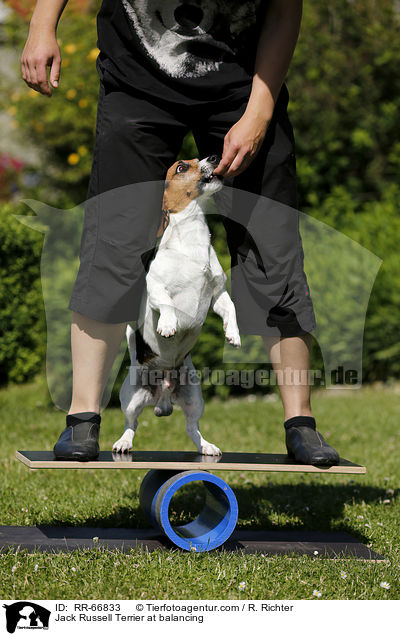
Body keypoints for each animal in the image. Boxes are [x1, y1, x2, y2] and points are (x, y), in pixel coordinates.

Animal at [114, 156, 242, 454]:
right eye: (181, 167)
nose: (215, 157)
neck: (191, 240)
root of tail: (162, 396)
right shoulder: (155, 288)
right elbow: (167, 304)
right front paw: (168, 325)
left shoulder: (218, 293)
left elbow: (230, 308)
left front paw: (233, 334)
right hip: (131, 396)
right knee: (131, 423)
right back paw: (123, 442)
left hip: (194, 396)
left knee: (191, 427)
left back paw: (206, 446)